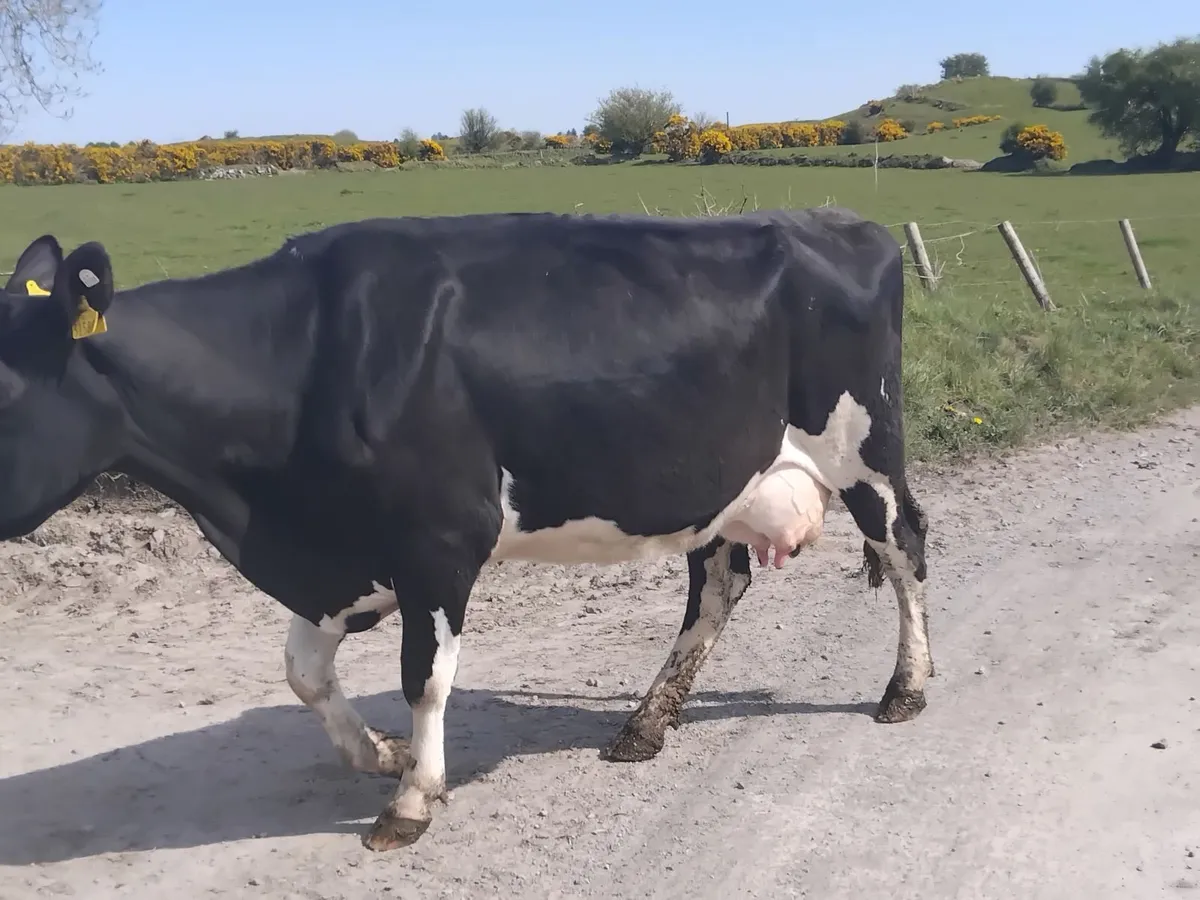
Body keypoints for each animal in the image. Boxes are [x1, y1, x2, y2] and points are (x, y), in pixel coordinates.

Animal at [0, 207, 932, 852]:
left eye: (6, 388)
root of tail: (843, 223)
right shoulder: (343, 555)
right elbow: (303, 672)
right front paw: (378, 753)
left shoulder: (438, 541)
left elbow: (425, 676)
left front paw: (411, 798)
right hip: (721, 482)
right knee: (719, 589)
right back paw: (644, 725)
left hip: (864, 447)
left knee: (905, 547)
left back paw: (905, 687)